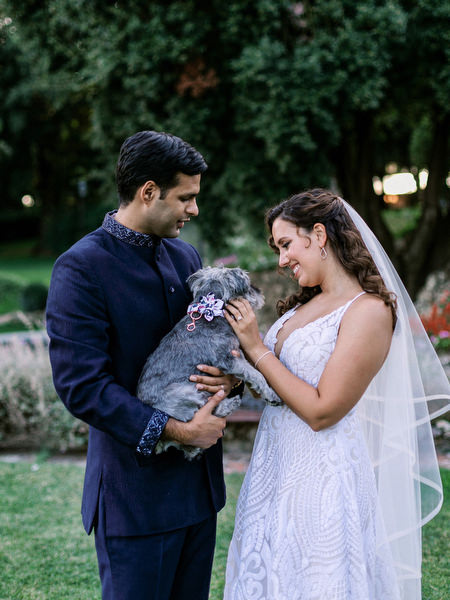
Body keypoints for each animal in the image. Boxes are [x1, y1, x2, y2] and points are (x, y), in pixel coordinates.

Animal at [137, 266, 281, 459]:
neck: (210, 312)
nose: (259, 292)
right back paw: (229, 404)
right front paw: (271, 394)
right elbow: (256, 374)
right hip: (189, 393)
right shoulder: (229, 360)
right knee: (204, 416)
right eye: (248, 284)